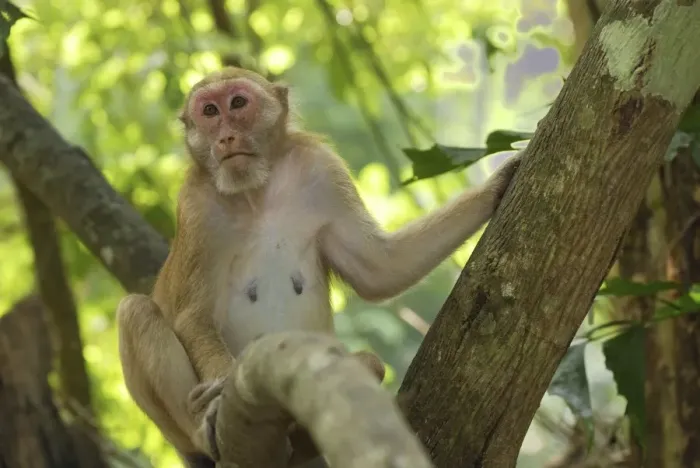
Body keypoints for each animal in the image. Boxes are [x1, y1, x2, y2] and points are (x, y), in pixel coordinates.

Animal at [116, 66, 522, 467]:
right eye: (210, 112)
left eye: (238, 103)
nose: (227, 136)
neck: (255, 194)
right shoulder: (196, 207)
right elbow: (192, 317)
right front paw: (218, 395)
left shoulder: (322, 170)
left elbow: (380, 269)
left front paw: (497, 185)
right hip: (176, 435)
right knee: (135, 310)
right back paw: (204, 426)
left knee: (369, 363)